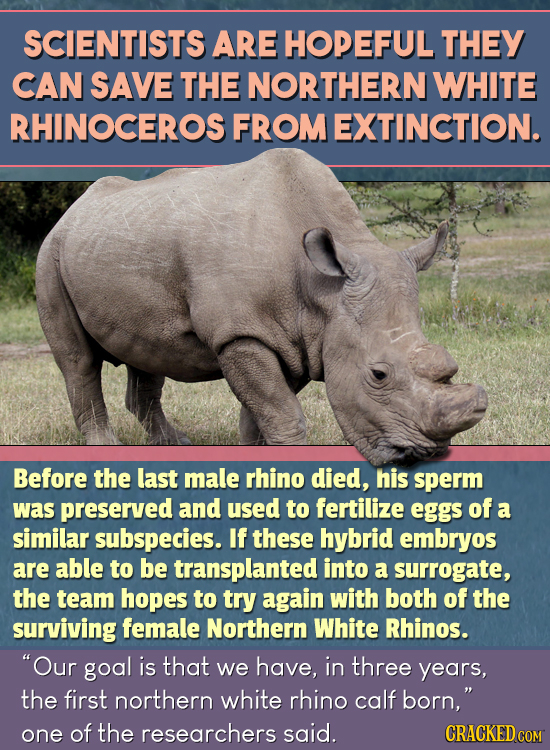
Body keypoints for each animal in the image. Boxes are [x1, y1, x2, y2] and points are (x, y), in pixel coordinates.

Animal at [36, 149, 487, 465]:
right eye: (378, 375)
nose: (419, 456)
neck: (323, 289)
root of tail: (72, 210)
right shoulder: (241, 333)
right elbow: (283, 411)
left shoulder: (299, 337)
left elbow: (264, 410)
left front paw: (255, 453)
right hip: (51, 254)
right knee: (78, 361)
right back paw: (105, 446)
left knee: (146, 351)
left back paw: (174, 443)